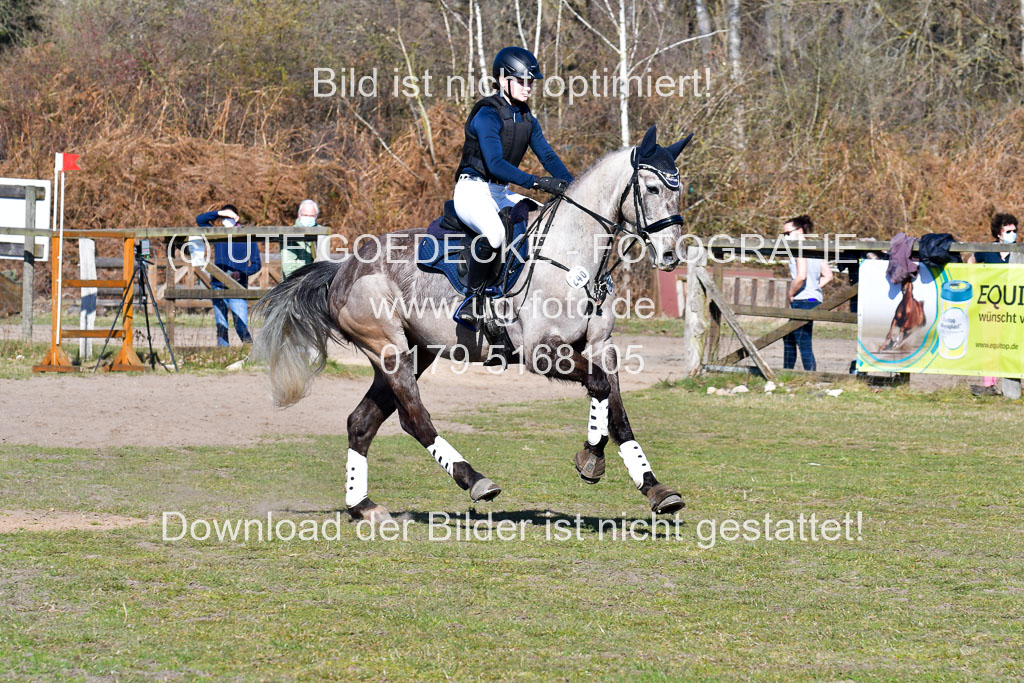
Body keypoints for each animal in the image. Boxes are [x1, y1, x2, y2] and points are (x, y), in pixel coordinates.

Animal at [253, 125, 690, 523]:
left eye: (678, 190)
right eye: (652, 188)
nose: (670, 255)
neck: (574, 258)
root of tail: (343, 268)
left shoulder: (602, 346)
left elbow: (618, 413)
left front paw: (654, 488)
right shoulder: (541, 351)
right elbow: (598, 387)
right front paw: (591, 457)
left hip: (415, 352)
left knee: (361, 423)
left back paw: (363, 506)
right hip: (389, 348)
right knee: (413, 419)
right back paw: (475, 480)